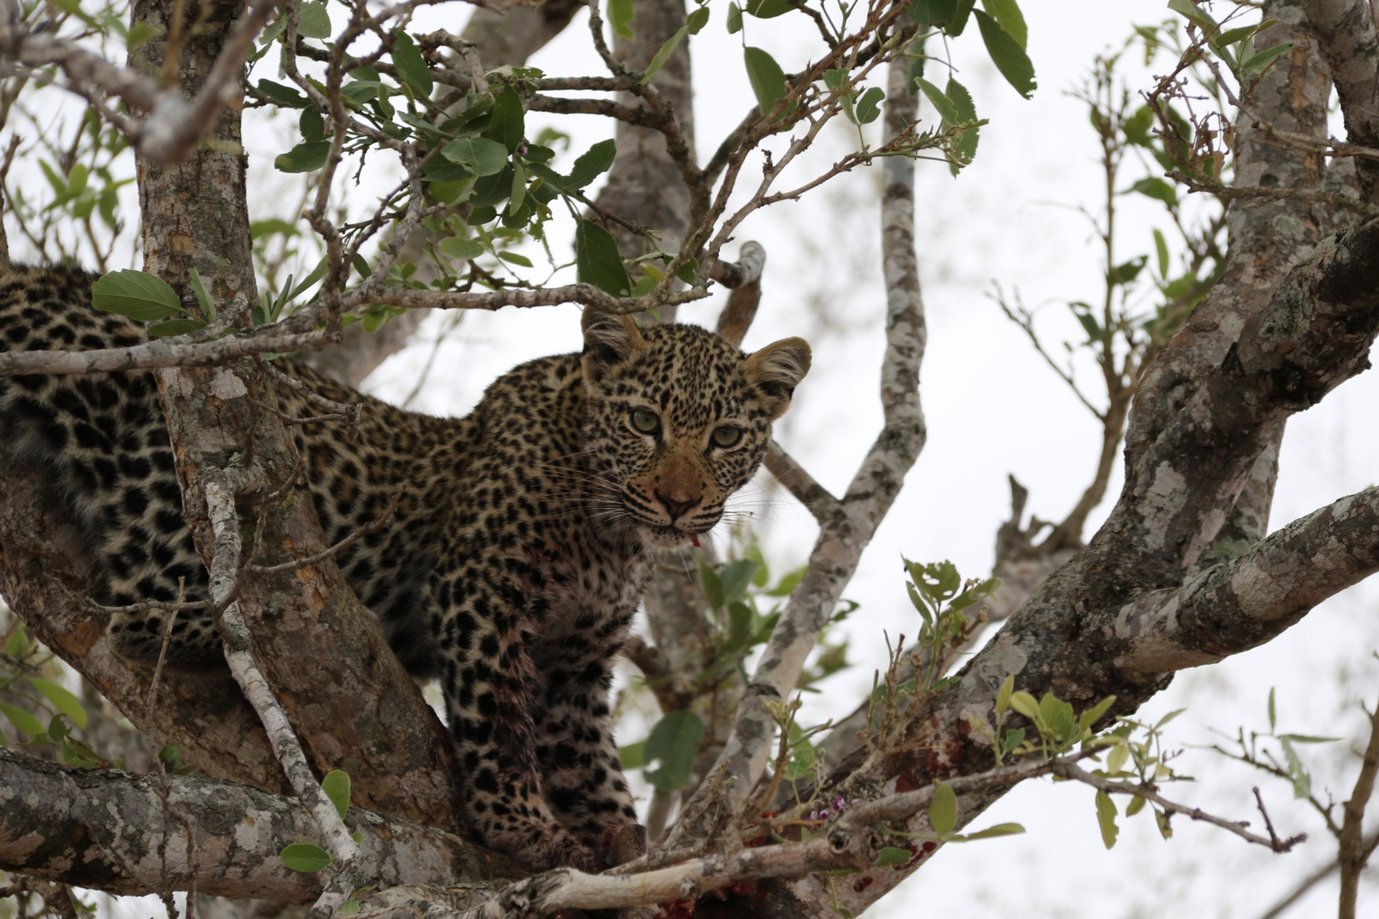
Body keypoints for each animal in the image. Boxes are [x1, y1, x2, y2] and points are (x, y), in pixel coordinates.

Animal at [0, 262, 811, 871]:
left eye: (727, 437)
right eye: (645, 422)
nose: (677, 502)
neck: (609, 535)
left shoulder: (577, 658)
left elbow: (586, 753)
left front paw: (622, 838)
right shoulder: (481, 586)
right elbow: (498, 719)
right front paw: (523, 825)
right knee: (144, 610)